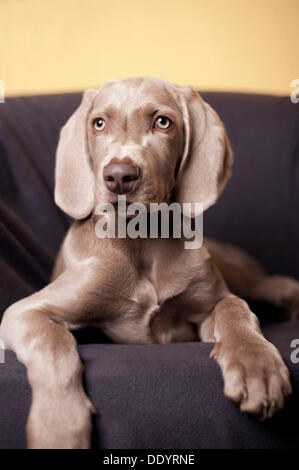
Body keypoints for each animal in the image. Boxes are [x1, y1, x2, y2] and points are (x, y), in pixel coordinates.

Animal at [0, 77, 299, 448]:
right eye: (99, 123)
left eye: (162, 122)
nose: (119, 176)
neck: (142, 240)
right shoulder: (24, 312)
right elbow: (54, 343)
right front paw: (59, 425)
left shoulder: (206, 308)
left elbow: (233, 307)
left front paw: (256, 365)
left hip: (254, 281)